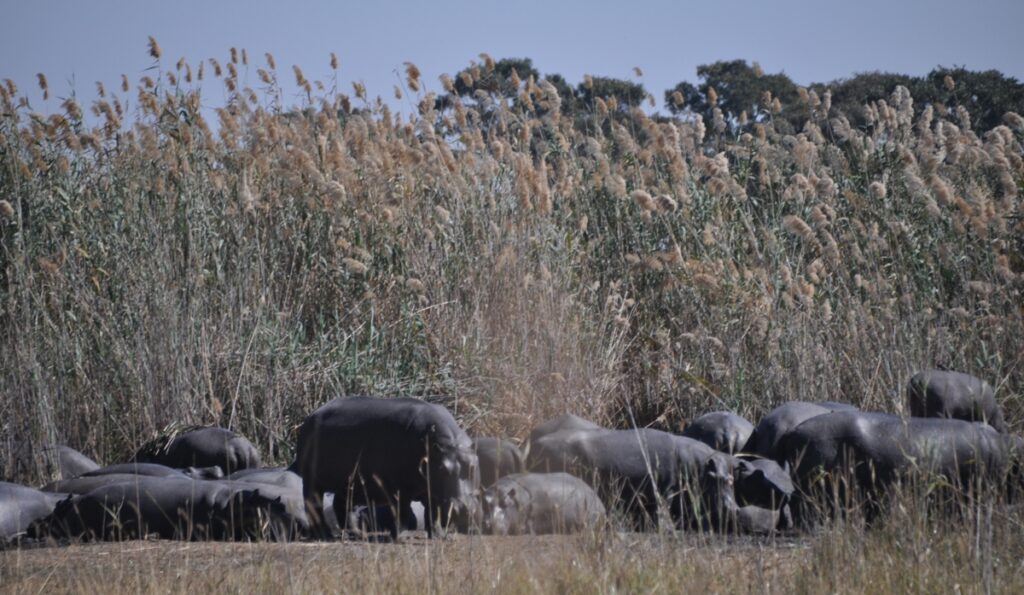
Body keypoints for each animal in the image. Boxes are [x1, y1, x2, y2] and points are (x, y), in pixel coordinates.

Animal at [288, 395, 479, 536]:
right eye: (443, 469)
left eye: (473, 466)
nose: (465, 509)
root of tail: (311, 416)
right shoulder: (401, 488)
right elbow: (402, 511)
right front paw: (399, 536)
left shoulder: (432, 489)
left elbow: (433, 513)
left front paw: (438, 535)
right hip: (313, 481)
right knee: (313, 505)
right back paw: (324, 534)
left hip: (348, 483)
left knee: (341, 505)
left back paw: (356, 533)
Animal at [528, 426, 737, 528]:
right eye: (718, 478)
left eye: (731, 479)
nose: (734, 507)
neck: (698, 465)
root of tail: (533, 443)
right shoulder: (666, 489)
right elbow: (665, 509)